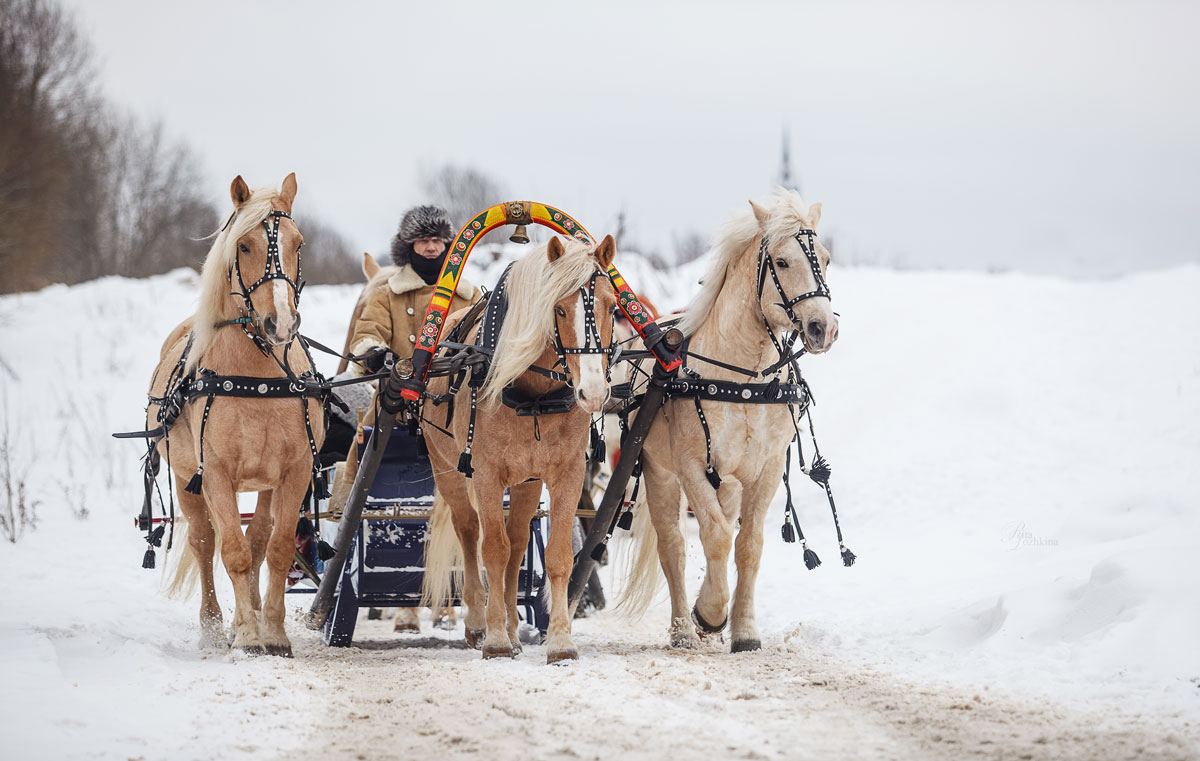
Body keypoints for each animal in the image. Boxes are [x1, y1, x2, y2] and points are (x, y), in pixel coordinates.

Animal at [150, 171, 324, 652]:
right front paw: (245, 634)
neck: (258, 376)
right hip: (185, 479)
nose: (280, 324)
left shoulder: (295, 471)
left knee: (258, 538)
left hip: (263, 483)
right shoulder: (214, 474)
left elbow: (275, 549)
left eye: (298, 244)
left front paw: (273, 632)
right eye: (243, 246)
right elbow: (231, 550)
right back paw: (214, 626)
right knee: (205, 540)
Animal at [422, 234, 624, 662]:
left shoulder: (566, 474)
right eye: (559, 309)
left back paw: (514, 630)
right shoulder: (485, 474)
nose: (593, 393)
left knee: (516, 544)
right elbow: (492, 551)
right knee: (470, 533)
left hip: (527, 481)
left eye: (613, 308)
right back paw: (479, 624)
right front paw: (495, 639)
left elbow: (556, 556)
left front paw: (560, 642)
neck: (535, 396)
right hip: (446, 467)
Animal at [619, 187, 835, 648]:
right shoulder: (690, 465)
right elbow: (715, 537)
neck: (745, 380)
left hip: (731, 481)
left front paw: (745, 630)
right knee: (672, 545)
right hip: (659, 471)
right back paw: (684, 628)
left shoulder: (765, 469)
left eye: (825, 259)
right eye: (782, 262)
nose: (822, 328)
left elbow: (749, 544)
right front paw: (710, 612)